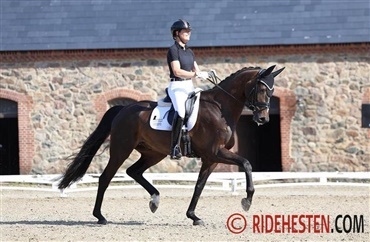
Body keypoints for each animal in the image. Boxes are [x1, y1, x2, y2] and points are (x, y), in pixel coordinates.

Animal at [57, 64, 284, 225]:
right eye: (260, 88)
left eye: (272, 91)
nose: (263, 118)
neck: (220, 108)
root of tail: (123, 109)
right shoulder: (215, 152)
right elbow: (246, 164)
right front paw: (247, 200)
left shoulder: (210, 158)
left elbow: (199, 186)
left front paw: (193, 216)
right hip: (122, 149)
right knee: (106, 177)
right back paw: (100, 216)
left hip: (153, 153)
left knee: (133, 171)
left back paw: (154, 200)